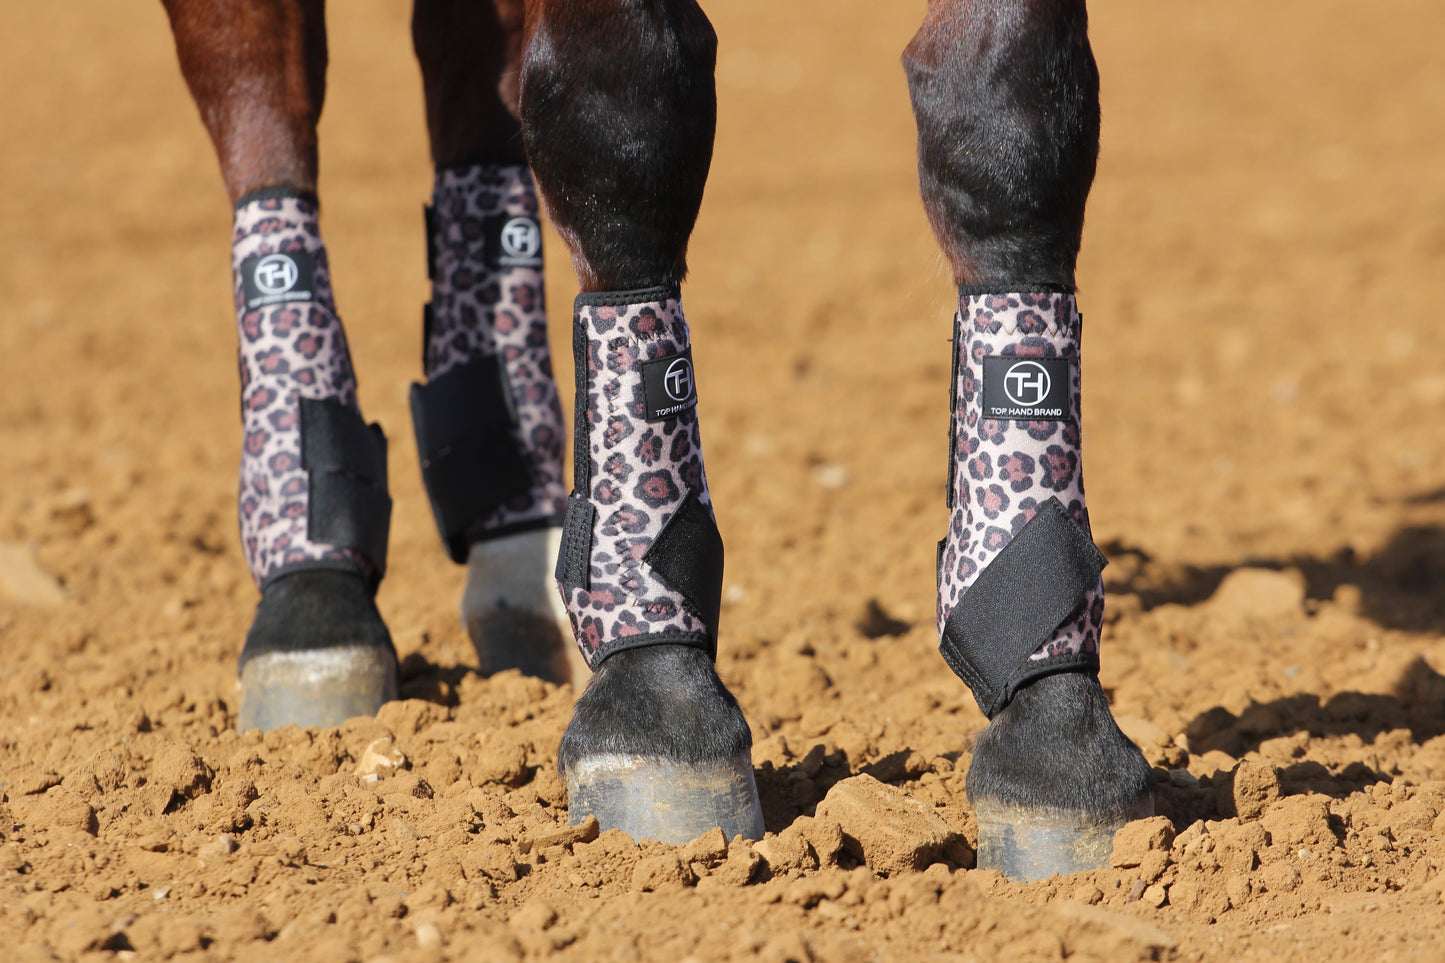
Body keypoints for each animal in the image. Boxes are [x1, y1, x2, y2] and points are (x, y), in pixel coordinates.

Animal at [158, 0, 1150, 879]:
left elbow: (1009, 120)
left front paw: (1059, 742)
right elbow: (621, 115)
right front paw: (657, 703)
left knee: (468, 76)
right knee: (262, 100)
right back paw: (312, 585)